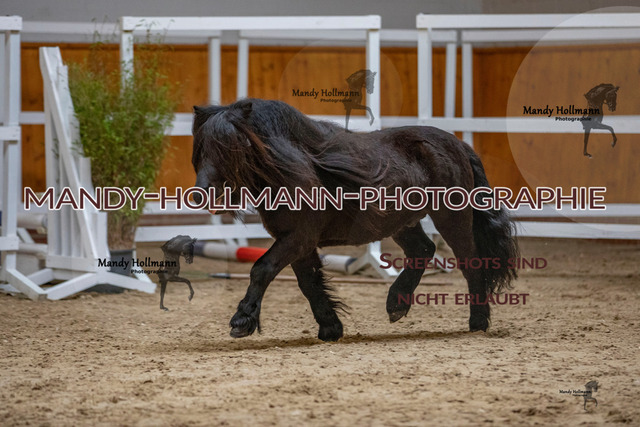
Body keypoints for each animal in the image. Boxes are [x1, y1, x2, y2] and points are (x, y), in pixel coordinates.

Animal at [191, 98, 519, 342]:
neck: (293, 169)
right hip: (402, 222)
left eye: (230, 147)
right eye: (199, 150)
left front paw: (242, 320)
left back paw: (478, 322)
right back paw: (396, 303)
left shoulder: (297, 238)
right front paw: (330, 328)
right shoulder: (298, 242)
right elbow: (309, 282)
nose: (201, 195)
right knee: (423, 250)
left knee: (470, 261)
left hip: (451, 217)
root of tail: (459, 145)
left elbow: (262, 269)